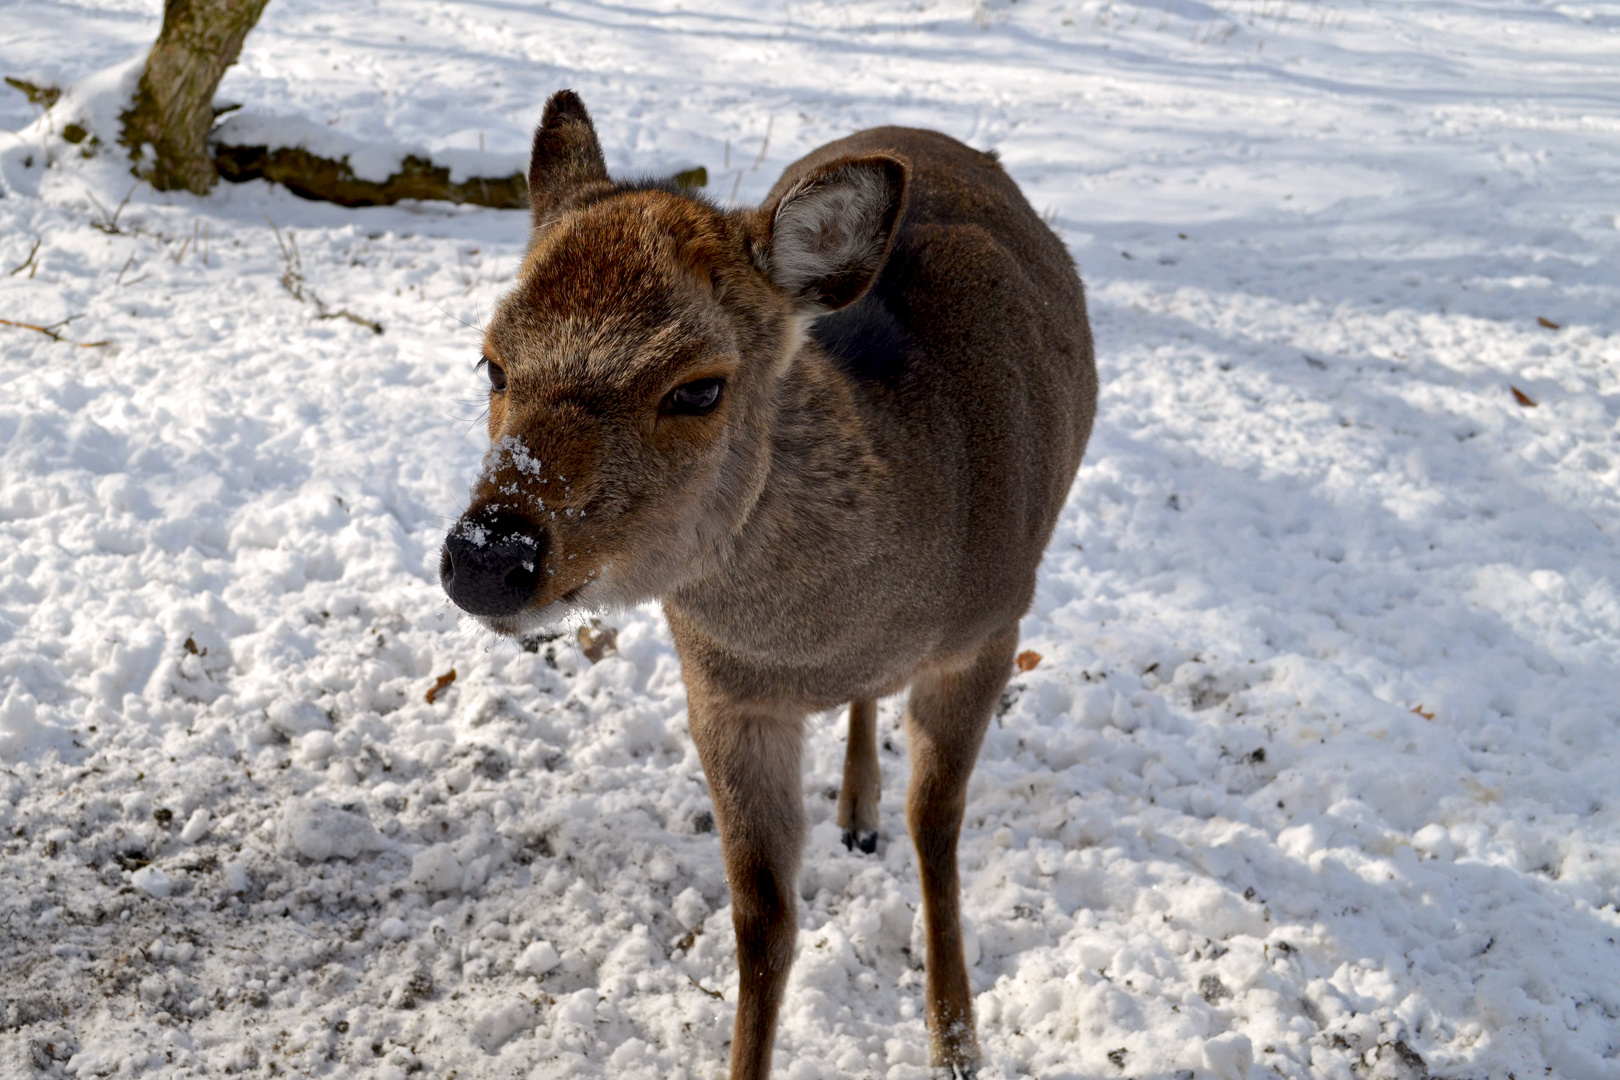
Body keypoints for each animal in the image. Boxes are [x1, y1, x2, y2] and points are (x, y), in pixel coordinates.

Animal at [440, 93, 1101, 1080]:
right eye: (492, 363)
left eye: (698, 388)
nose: (487, 556)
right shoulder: (724, 691)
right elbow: (763, 921)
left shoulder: (992, 626)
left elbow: (938, 828)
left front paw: (956, 1044)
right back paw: (855, 808)